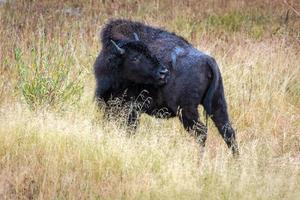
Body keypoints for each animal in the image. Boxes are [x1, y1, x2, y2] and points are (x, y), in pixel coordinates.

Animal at [94, 19, 239, 155]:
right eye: (135, 57)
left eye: (149, 52)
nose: (163, 72)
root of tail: (208, 60)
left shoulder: (131, 109)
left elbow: (130, 129)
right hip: (217, 104)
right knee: (228, 132)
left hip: (186, 111)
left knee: (202, 132)